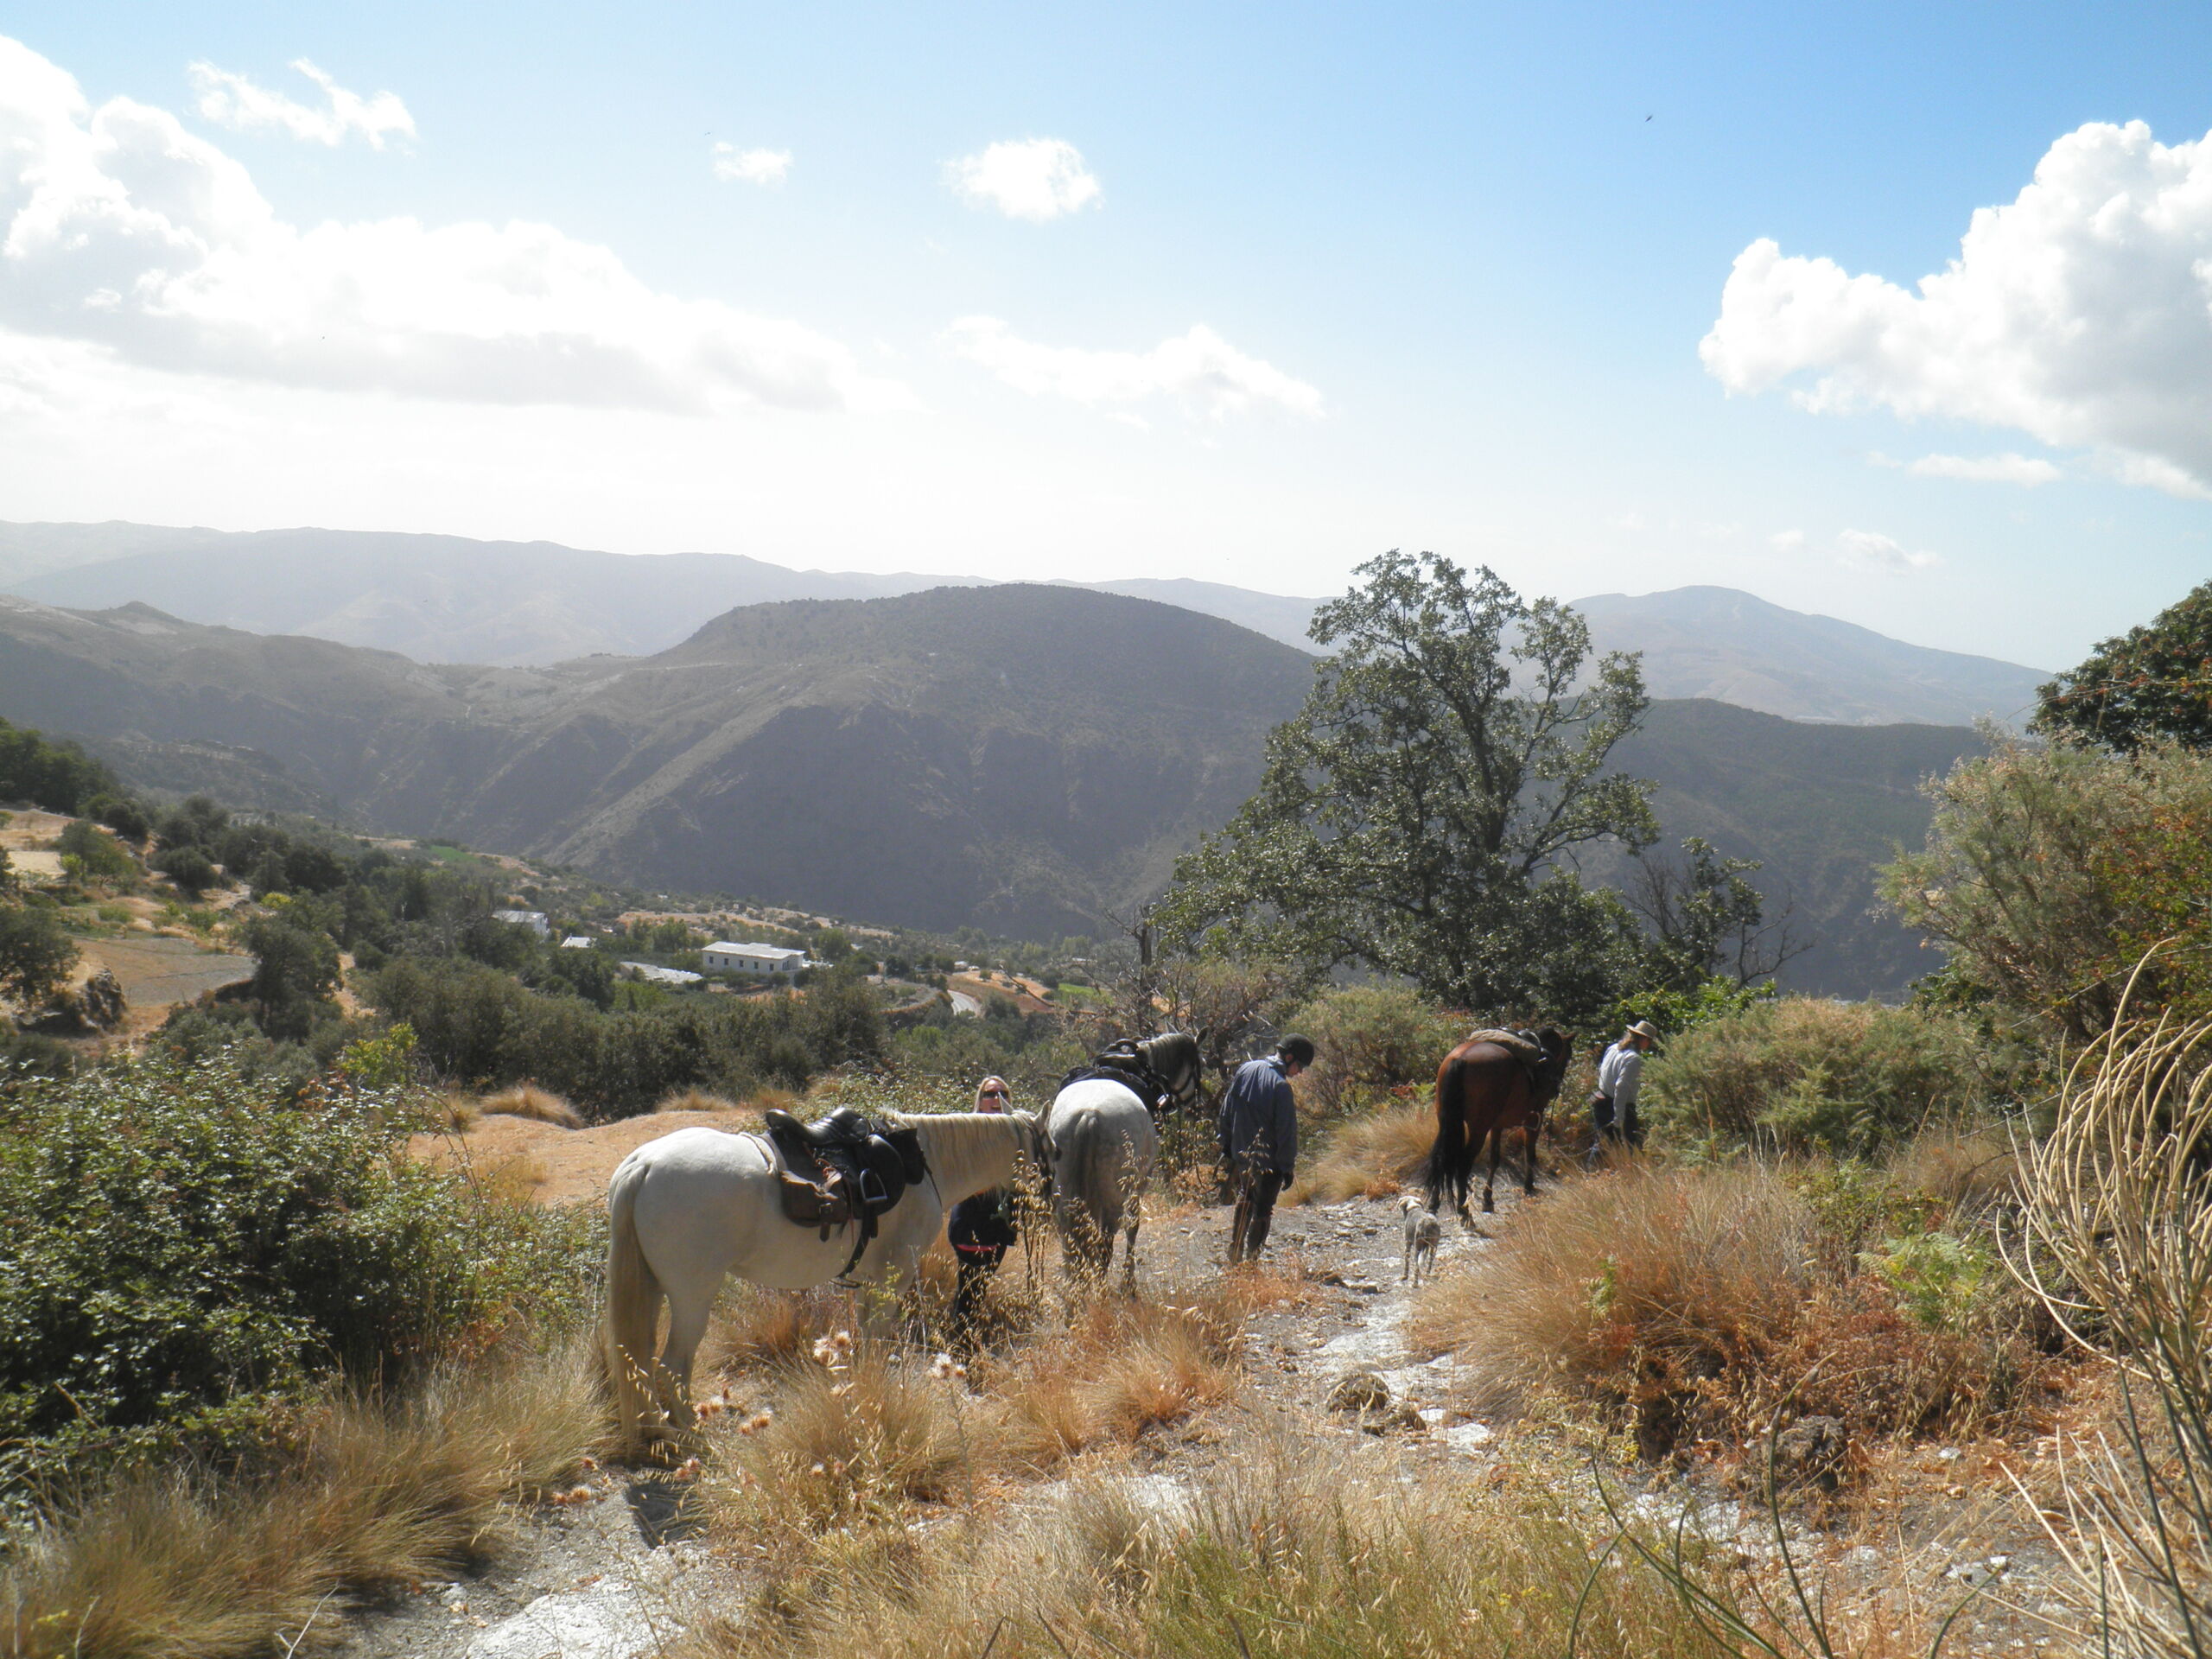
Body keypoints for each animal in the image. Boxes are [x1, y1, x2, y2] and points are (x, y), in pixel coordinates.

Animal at [601, 1119, 1039, 1451]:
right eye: (1046, 1149)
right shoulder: (895, 1278)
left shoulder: (869, 1282)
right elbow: (877, 1340)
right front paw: (876, 1393)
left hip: (652, 1288)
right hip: (692, 1297)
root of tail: (643, 1164)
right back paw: (690, 1437)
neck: (924, 1166)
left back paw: (659, 1430)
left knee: (638, 1361)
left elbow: (866, 1338)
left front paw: (862, 1387)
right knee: (672, 1366)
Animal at [1424, 1026, 1583, 1221]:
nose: (1556, 1086)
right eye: (1568, 1057)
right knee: (1462, 1164)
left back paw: (1434, 1203)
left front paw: (1488, 1199)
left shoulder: (1496, 1126)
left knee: (1440, 1157)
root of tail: (1460, 1060)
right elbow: (1530, 1154)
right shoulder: (1534, 1119)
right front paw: (1528, 1186)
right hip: (1478, 1129)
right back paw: (1464, 1210)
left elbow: (1494, 1159)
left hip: (1447, 1122)